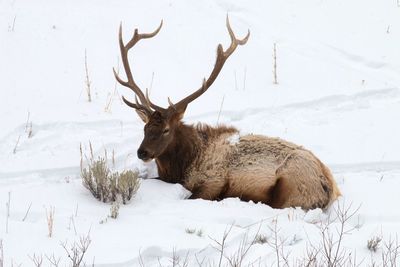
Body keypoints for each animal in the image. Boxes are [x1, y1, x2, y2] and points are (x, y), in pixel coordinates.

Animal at [114, 17, 342, 210]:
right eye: (145, 128)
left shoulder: (213, 182)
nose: (142, 152)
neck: (184, 164)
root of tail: (331, 187)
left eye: (166, 130)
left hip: (291, 188)